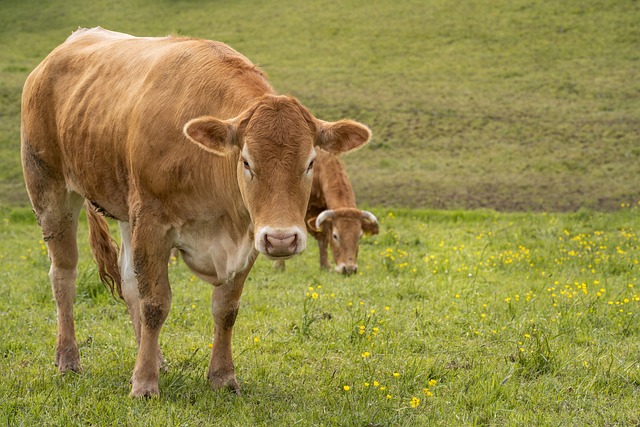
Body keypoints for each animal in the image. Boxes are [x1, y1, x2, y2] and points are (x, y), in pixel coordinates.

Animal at [21, 26, 370, 398]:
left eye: (310, 163)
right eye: (247, 161)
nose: (281, 239)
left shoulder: (248, 236)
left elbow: (225, 309)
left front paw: (222, 376)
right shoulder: (152, 223)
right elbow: (155, 304)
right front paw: (144, 384)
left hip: (127, 213)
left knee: (128, 282)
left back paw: (154, 358)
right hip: (51, 191)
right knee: (64, 275)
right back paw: (69, 359)